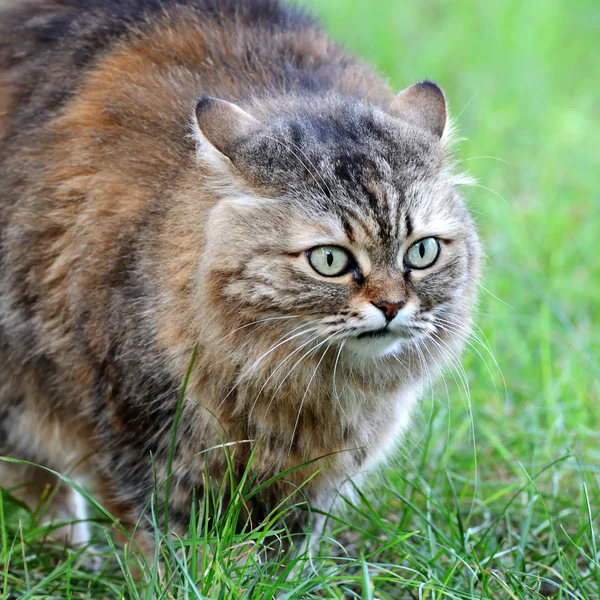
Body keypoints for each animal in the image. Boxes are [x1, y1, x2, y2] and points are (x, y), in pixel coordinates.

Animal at [0, 0, 482, 552]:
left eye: (421, 252)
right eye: (330, 260)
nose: (391, 306)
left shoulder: (310, 481)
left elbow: (285, 546)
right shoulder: (145, 442)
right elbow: (174, 545)